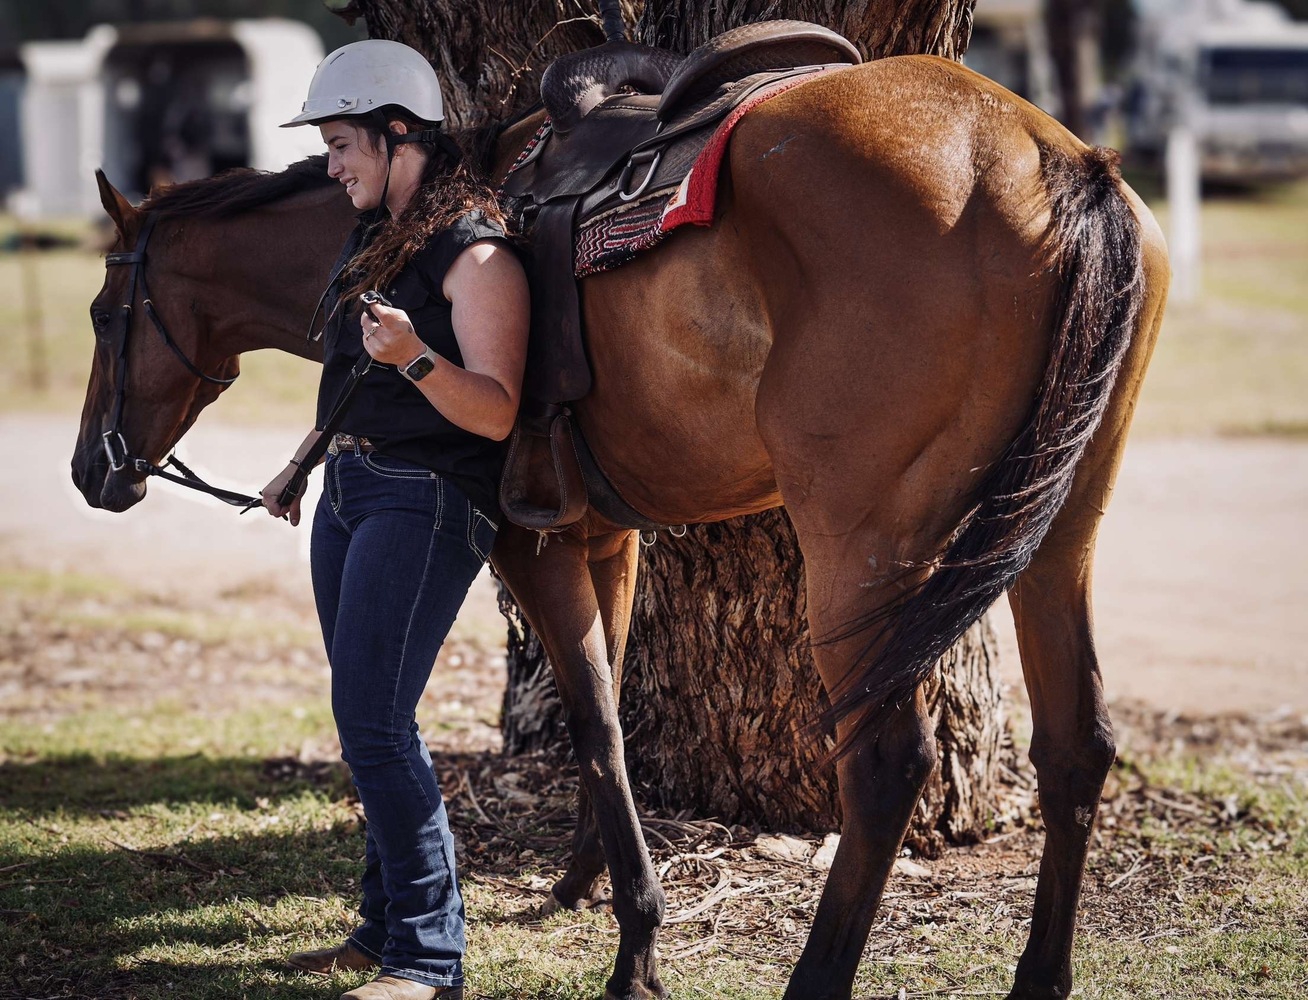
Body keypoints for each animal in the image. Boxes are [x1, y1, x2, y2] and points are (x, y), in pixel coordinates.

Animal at [73, 54, 1169, 1000]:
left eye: (100, 312)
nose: (92, 469)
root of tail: (1052, 159)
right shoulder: (609, 537)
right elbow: (609, 712)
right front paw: (579, 882)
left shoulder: (534, 542)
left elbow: (596, 721)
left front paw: (635, 943)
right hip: (1060, 528)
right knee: (1077, 744)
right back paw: (1042, 977)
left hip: (861, 551)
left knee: (887, 763)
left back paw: (816, 977)